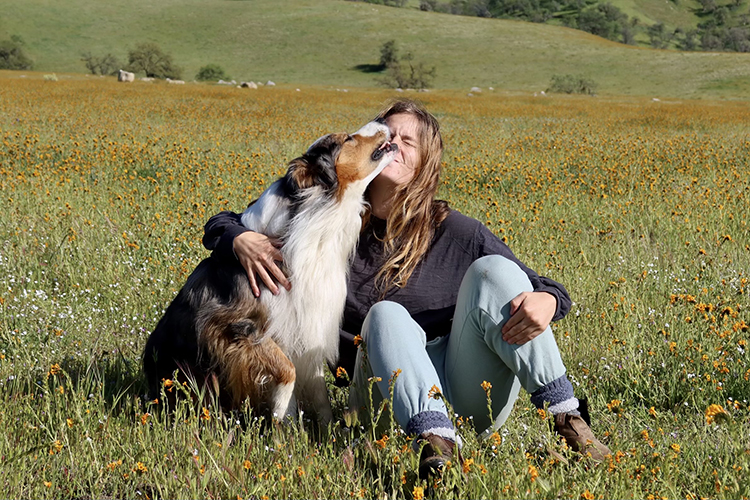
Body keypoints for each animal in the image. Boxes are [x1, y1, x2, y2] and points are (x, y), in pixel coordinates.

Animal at [142, 120, 400, 422]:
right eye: (347, 139)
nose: (382, 122)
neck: (313, 218)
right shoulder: (232, 326)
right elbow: (287, 369)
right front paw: (281, 413)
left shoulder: (305, 324)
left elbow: (317, 388)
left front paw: (320, 429)